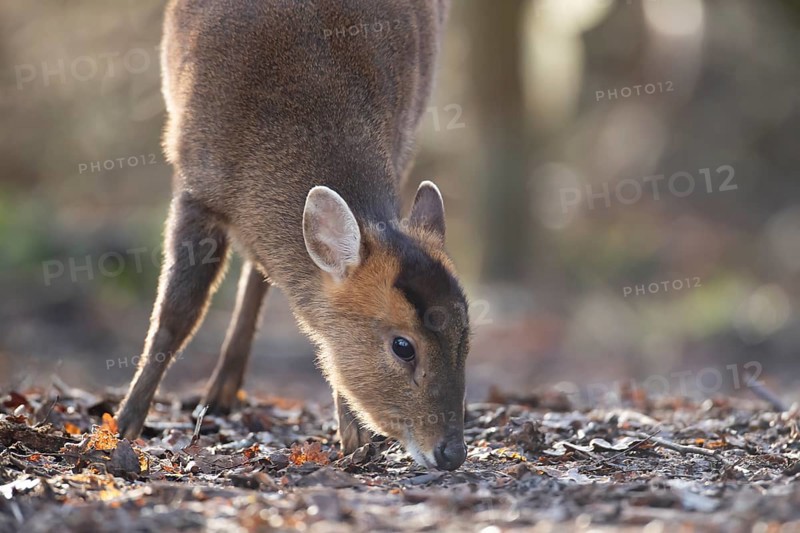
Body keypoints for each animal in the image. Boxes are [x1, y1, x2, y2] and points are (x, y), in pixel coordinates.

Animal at [115, 0, 470, 471]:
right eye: (403, 346)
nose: (452, 451)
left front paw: (354, 439)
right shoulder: (195, 184)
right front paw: (122, 424)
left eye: (466, 335)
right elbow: (177, 314)